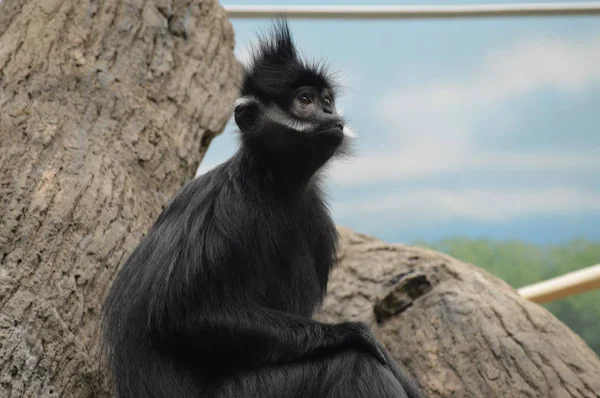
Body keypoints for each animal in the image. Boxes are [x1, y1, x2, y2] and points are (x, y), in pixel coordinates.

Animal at [101, 20, 424, 398]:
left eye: (327, 100)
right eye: (305, 100)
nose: (330, 113)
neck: (273, 184)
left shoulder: (317, 217)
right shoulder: (228, 205)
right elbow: (178, 317)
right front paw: (354, 333)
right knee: (354, 365)